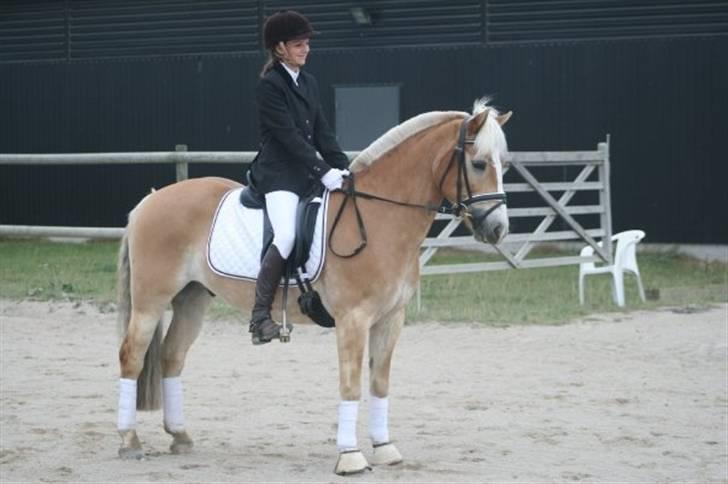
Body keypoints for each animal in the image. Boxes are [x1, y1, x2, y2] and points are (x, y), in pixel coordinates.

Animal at [115, 96, 512, 474]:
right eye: (479, 164)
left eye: (504, 165)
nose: (498, 229)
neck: (379, 218)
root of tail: (151, 199)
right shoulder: (354, 319)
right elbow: (350, 384)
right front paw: (351, 457)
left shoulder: (391, 318)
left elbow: (379, 382)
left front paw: (385, 449)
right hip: (151, 301)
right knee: (131, 356)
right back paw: (129, 442)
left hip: (193, 298)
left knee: (171, 356)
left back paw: (180, 436)